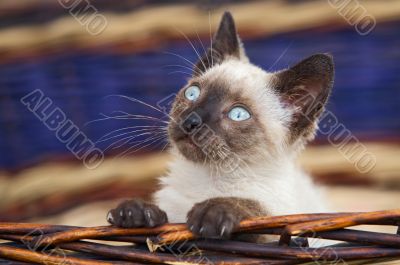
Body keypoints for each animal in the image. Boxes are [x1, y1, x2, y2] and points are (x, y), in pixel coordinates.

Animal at [107, 11, 334, 239]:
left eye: (238, 114)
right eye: (193, 93)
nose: (191, 122)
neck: (208, 178)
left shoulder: (282, 223)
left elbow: (261, 214)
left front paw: (212, 211)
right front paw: (136, 211)